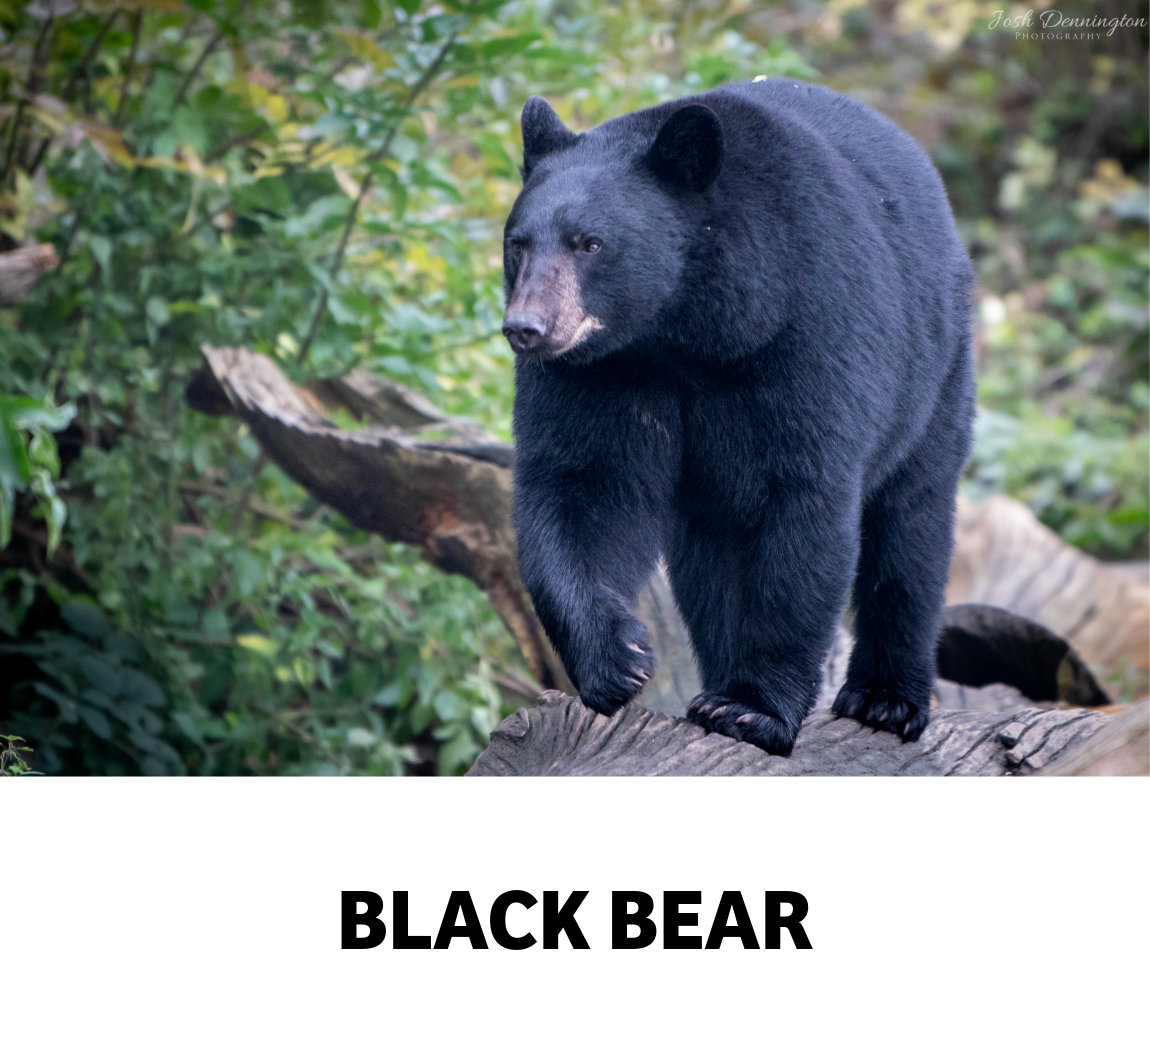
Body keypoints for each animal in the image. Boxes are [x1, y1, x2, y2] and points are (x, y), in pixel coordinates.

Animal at [502, 80, 975, 757]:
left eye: (590, 243)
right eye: (517, 244)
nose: (527, 328)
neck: (688, 329)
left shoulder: (806, 332)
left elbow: (799, 506)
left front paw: (753, 710)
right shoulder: (602, 373)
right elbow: (581, 485)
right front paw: (618, 659)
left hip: (934, 370)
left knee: (912, 522)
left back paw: (884, 699)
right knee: (708, 556)